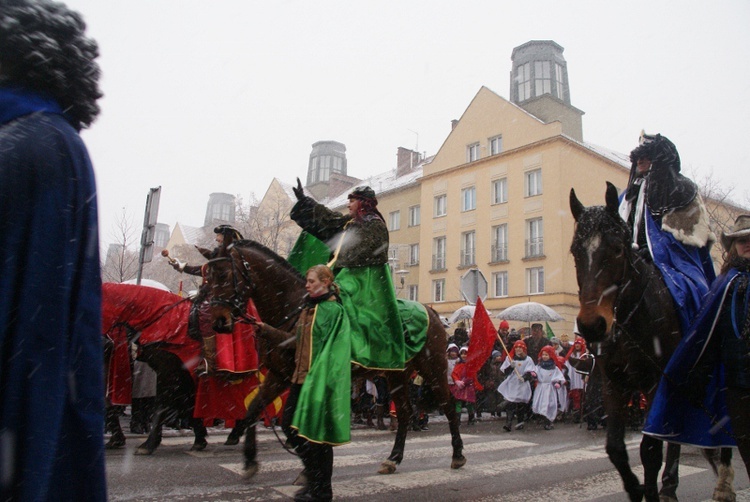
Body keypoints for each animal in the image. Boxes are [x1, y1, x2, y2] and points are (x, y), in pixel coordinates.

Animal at [200, 242, 470, 478]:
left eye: (223, 274)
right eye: (207, 277)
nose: (219, 321)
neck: (298, 308)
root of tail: (431, 311)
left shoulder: (300, 378)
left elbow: (296, 422)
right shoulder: (278, 376)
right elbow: (254, 411)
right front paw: (250, 461)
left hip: (433, 369)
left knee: (448, 408)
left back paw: (457, 454)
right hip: (398, 375)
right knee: (404, 413)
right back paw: (393, 459)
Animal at [572, 181, 736, 502]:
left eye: (617, 248)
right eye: (575, 251)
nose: (592, 326)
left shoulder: (656, 383)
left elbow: (650, 450)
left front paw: (648, 490)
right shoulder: (613, 383)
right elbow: (615, 448)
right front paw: (635, 488)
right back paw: (671, 485)